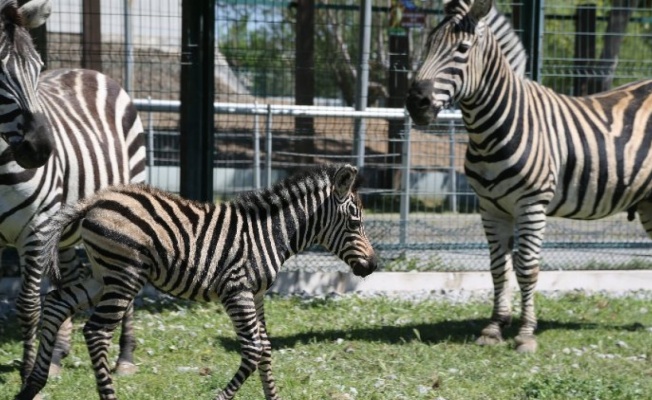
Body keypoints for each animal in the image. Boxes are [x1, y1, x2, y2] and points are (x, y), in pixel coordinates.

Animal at [0, 0, 144, 382]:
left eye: (38, 68)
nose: (40, 150)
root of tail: (89, 71)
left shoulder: (35, 228)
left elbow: (28, 305)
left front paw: (27, 373)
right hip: (64, 228)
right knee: (68, 283)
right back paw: (56, 354)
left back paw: (125, 355)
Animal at [16, 163, 376, 400]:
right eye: (354, 222)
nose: (372, 265)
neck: (269, 234)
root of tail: (95, 199)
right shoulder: (237, 290)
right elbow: (253, 349)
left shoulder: (256, 295)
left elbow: (266, 348)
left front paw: (272, 396)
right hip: (123, 275)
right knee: (96, 331)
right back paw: (104, 394)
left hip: (101, 274)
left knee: (56, 304)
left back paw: (32, 386)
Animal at [404, 0, 652, 354]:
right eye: (426, 46)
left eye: (462, 49)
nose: (416, 103)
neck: (491, 128)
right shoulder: (490, 207)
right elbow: (497, 267)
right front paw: (494, 327)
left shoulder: (531, 204)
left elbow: (526, 267)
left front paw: (525, 333)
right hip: (649, 203)